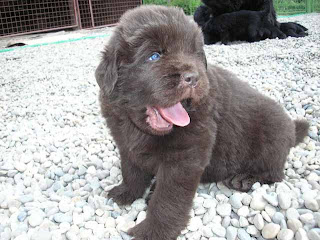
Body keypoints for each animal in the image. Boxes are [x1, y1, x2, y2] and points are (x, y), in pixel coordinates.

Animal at [95, 4, 310, 240]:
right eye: (154, 56)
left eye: (194, 53)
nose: (192, 77)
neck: (142, 130)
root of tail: (292, 128)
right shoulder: (127, 144)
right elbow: (131, 171)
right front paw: (125, 192)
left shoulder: (184, 157)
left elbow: (168, 198)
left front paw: (153, 230)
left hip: (271, 139)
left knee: (274, 173)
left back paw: (245, 178)